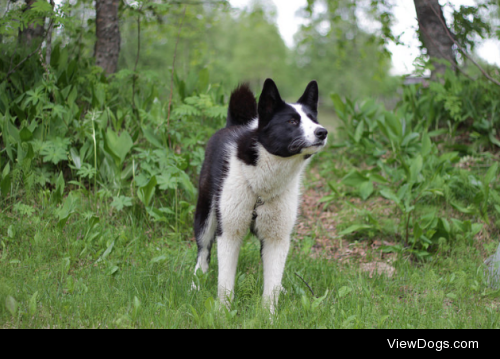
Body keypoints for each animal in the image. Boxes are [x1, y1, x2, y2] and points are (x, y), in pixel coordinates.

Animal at [192, 78, 328, 312]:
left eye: (313, 119)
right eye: (292, 121)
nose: (323, 132)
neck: (263, 185)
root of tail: (231, 124)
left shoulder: (277, 238)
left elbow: (271, 286)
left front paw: (269, 315)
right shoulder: (229, 232)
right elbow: (225, 283)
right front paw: (222, 313)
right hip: (206, 212)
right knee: (203, 249)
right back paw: (196, 283)